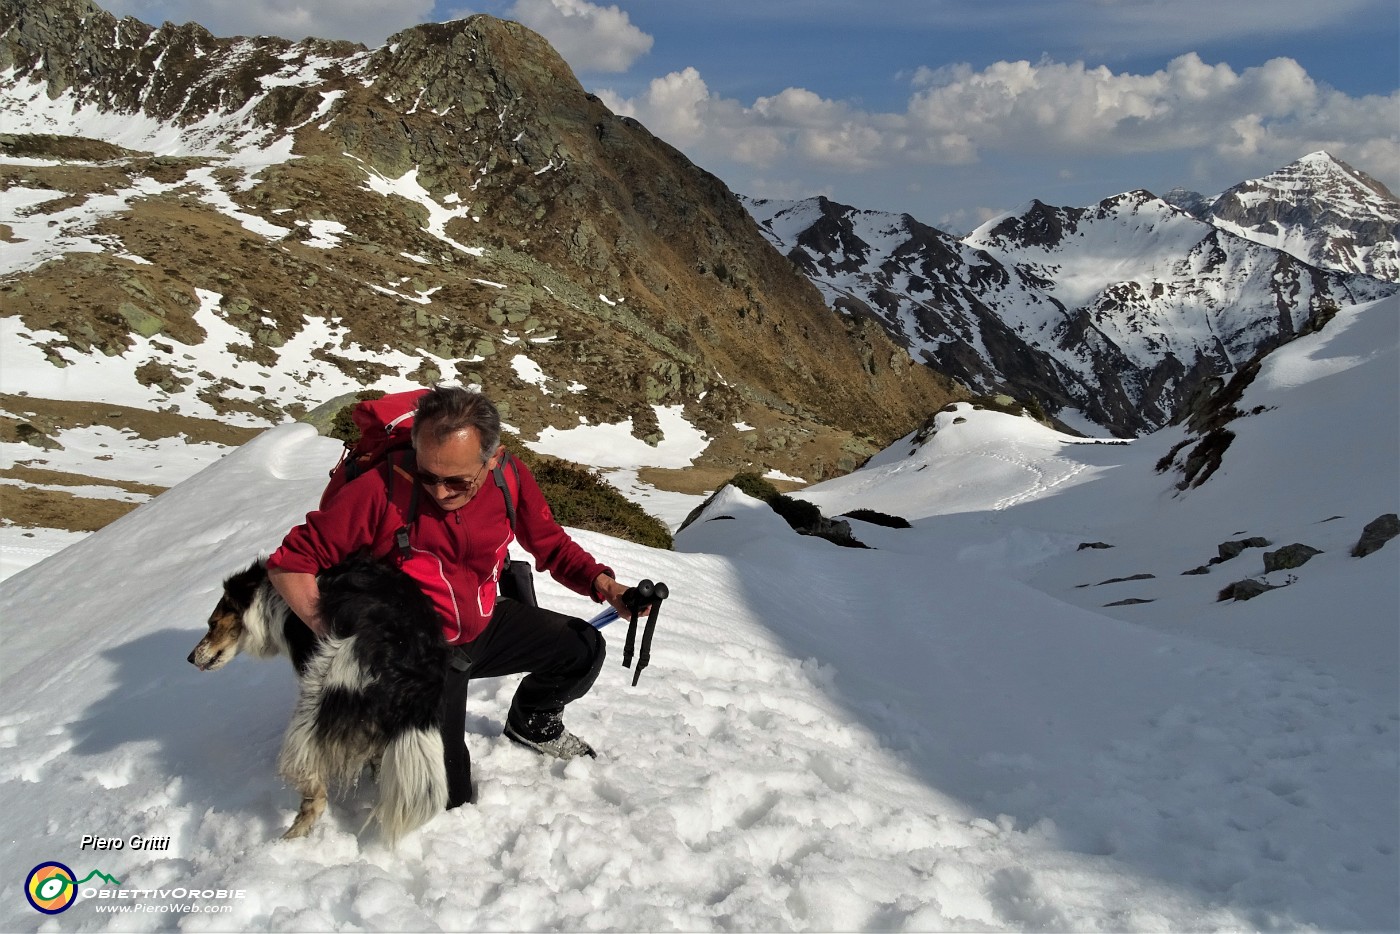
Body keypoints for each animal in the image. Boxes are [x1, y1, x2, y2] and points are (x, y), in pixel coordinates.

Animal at [187, 554, 448, 845]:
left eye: (212, 624)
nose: (190, 658)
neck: (269, 599)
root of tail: (410, 673)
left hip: (311, 709)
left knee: (314, 795)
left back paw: (288, 840)